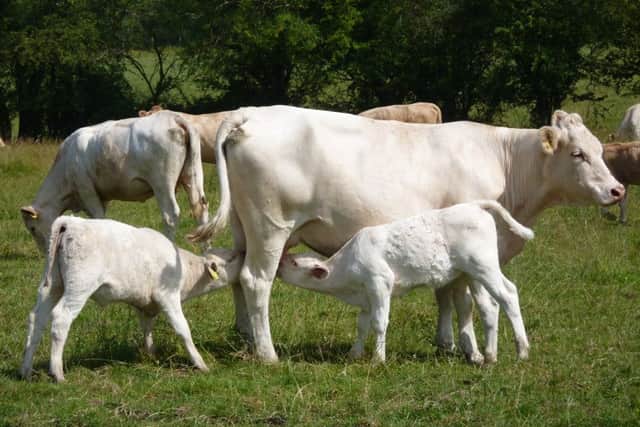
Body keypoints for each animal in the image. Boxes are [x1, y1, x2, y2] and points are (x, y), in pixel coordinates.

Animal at [20, 110, 209, 253]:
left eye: (32, 228)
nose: (45, 253)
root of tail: (173, 117)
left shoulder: (87, 190)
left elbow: (98, 217)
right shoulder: (100, 196)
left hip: (162, 184)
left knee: (170, 215)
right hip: (192, 176)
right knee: (201, 209)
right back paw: (207, 251)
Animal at [20, 216, 242, 382]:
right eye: (231, 259)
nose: (244, 252)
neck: (183, 268)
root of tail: (70, 222)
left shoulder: (144, 304)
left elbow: (147, 329)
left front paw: (151, 356)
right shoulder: (167, 295)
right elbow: (182, 329)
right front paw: (200, 363)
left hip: (52, 284)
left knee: (36, 318)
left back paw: (26, 370)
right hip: (79, 285)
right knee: (60, 319)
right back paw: (57, 373)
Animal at [278, 200, 534, 363]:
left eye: (294, 263)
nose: (278, 263)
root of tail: (474, 205)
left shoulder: (380, 282)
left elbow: (379, 322)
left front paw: (378, 359)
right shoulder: (366, 297)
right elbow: (362, 325)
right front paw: (354, 353)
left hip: (484, 266)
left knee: (508, 295)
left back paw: (522, 351)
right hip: (473, 273)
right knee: (490, 305)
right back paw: (489, 356)